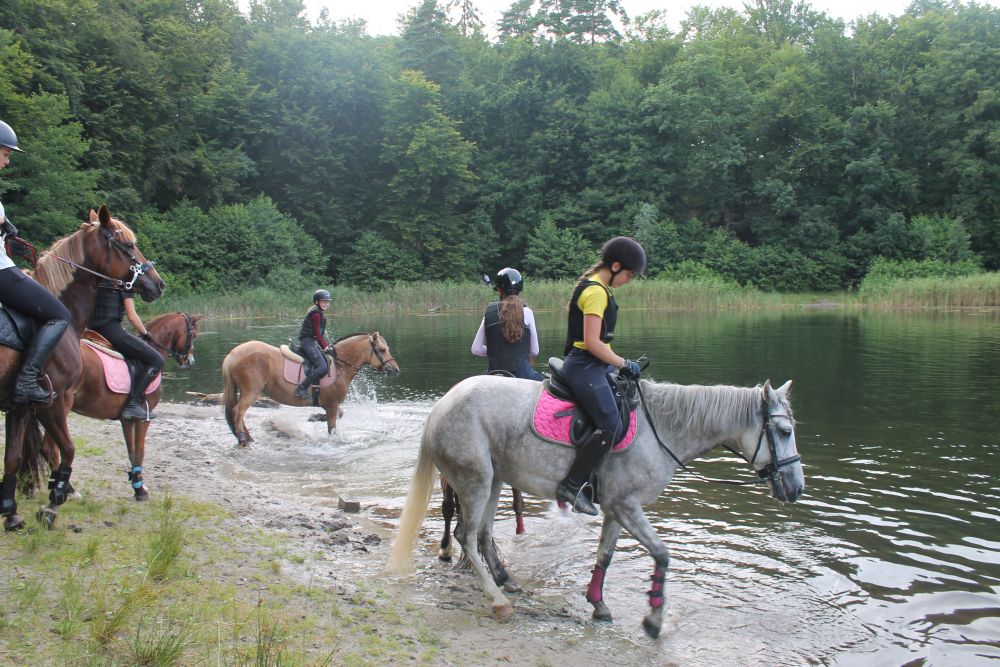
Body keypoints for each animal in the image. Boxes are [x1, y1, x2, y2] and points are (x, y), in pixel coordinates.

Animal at [0, 205, 164, 530]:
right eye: (128, 245)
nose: (158, 283)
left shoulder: (20, 406)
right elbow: (70, 450)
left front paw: (12, 514)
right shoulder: (53, 401)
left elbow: (12, 457)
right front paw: (54, 501)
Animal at [42, 312, 200, 501]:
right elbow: (139, 452)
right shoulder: (144, 417)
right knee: (52, 449)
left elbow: (131, 451)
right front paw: (140, 490)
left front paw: (136, 485)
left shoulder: (127, 419)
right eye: (194, 335)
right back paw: (67, 490)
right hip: (60, 408)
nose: (190, 361)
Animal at [222, 332, 400, 445]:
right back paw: (242, 438)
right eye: (382, 350)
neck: (339, 365)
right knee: (238, 412)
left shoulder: (331, 406)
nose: (395, 370)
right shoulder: (332, 405)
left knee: (237, 413)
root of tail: (233, 354)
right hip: (251, 392)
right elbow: (332, 428)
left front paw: (314, 417)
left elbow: (340, 415)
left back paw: (247, 437)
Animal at [389, 374, 804, 639]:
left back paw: (507, 580)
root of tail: (439, 408)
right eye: (784, 432)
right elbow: (662, 554)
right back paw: (499, 599)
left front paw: (598, 605)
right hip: (475, 481)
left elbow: (605, 555)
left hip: (493, 481)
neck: (663, 430)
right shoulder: (627, 506)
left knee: (484, 534)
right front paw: (654, 619)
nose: (796, 488)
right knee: (466, 535)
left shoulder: (618, 509)